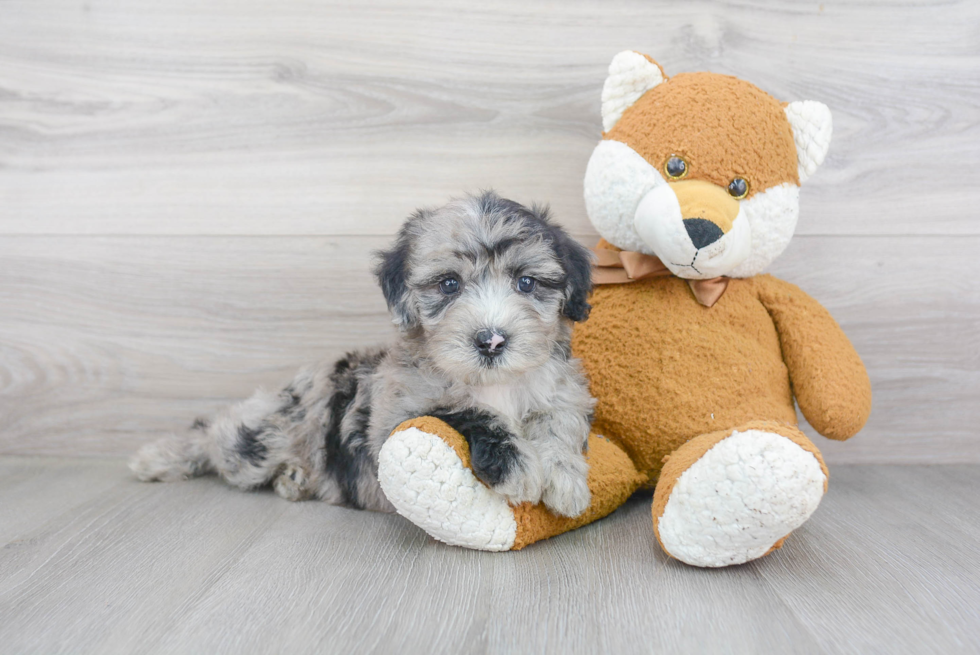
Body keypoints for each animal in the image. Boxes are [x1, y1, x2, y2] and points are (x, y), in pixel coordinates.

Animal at [128, 190, 596, 516]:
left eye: (526, 282)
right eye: (449, 284)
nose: (492, 340)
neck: (493, 383)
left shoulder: (563, 393)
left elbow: (559, 425)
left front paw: (565, 480)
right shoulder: (396, 415)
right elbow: (465, 410)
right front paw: (517, 465)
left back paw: (294, 480)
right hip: (263, 437)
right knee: (216, 436)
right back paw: (157, 457)